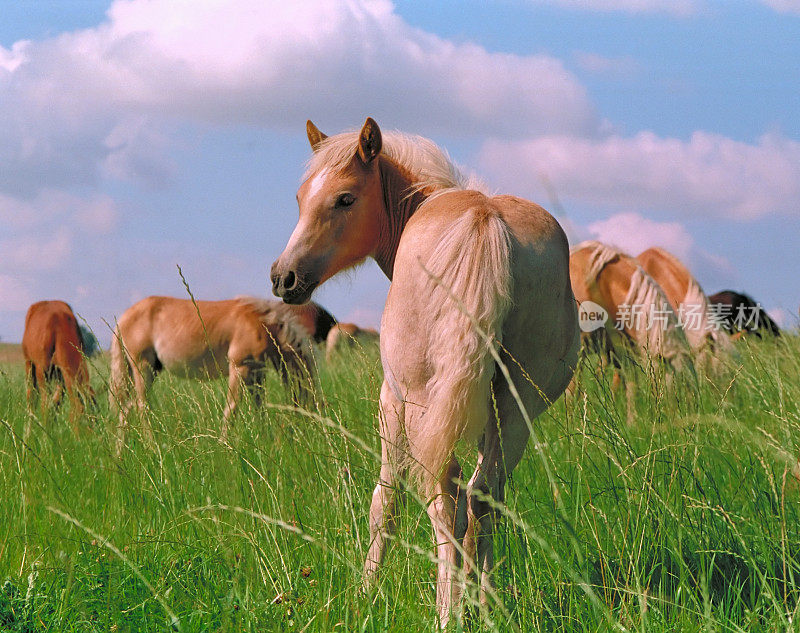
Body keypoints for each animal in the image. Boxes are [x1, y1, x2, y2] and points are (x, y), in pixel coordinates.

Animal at [20, 298, 94, 428]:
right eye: (82, 418)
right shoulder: (42, 370)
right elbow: (45, 405)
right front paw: (45, 432)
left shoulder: (62, 375)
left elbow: (55, 403)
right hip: (29, 364)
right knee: (31, 398)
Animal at [110, 296, 316, 446]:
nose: (308, 434)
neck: (262, 324)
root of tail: (125, 316)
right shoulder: (239, 369)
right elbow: (231, 409)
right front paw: (223, 446)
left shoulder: (257, 374)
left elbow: (260, 410)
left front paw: (264, 438)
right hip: (143, 368)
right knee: (141, 407)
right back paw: (152, 446)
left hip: (149, 370)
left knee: (126, 408)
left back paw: (120, 453)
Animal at [272, 117, 580, 624]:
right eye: (299, 198)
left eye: (344, 199)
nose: (283, 278)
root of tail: (484, 220)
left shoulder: (391, 403)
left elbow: (385, 503)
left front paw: (367, 591)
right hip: (516, 407)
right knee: (483, 496)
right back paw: (483, 608)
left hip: (421, 406)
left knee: (446, 502)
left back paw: (447, 613)